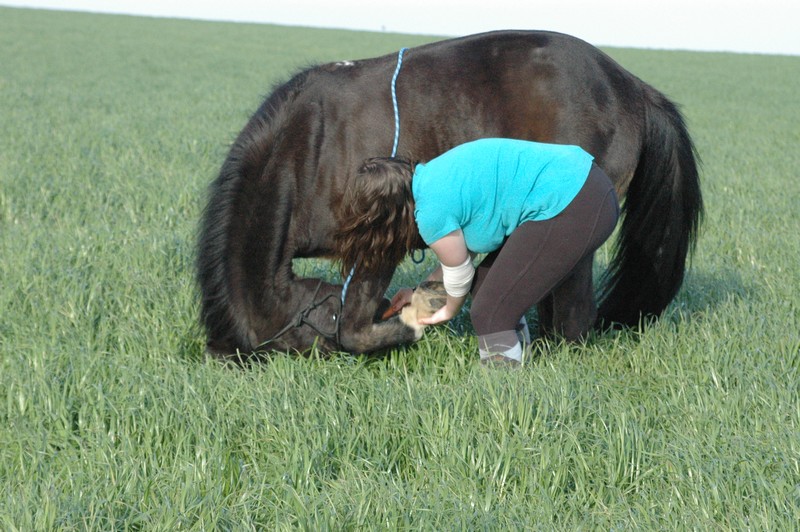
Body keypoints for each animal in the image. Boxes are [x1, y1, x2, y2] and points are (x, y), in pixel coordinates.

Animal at [197, 29, 704, 358]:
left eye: (311, 349)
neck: (310, 147)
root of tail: (631, 85)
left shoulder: (379, 245)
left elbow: (355, 329)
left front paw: (410, 322)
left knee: (576, 313)